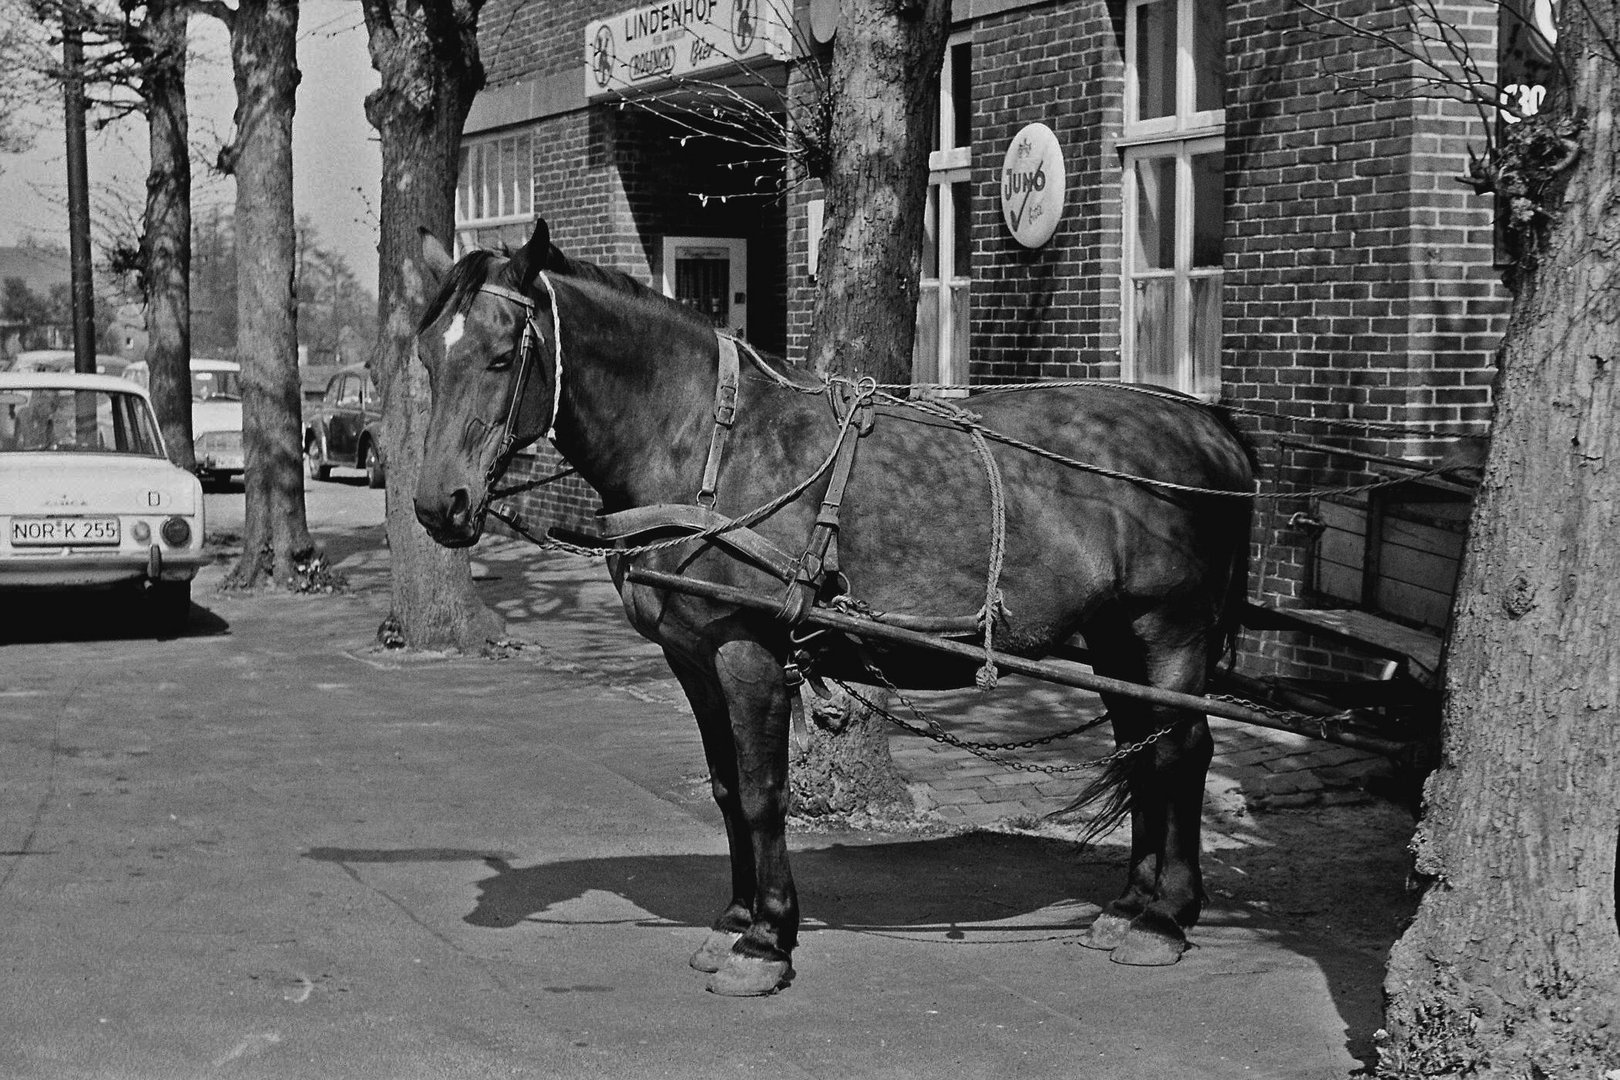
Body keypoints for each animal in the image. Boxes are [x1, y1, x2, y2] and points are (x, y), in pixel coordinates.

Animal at [405, 216, 1250, 997]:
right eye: (426, 356)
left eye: (504, 355)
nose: (440, 505)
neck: (708, 448)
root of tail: (1208, 425)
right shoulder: (692, 659)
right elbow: (725, 789)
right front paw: (734, 921)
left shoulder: (746, 654)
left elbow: (761, 793)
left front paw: (766, 941)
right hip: (1114, 640)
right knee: (1142, 749)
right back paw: (1130, 905)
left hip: (1168, 630)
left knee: (1180, 750)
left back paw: (1164, 918)